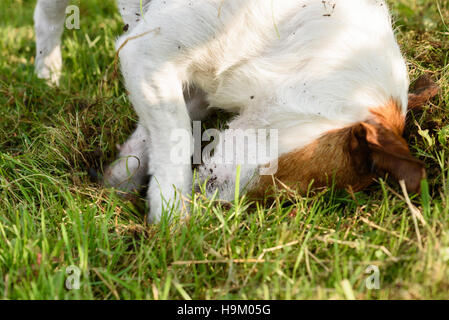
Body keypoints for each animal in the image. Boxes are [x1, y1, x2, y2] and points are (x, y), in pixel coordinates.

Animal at [36, 0, 438, 224]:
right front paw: (172, 223)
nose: (212, 208)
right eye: (281, 180)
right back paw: (46, 73)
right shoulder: (146, 54)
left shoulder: (191, 88)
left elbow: (149, 141)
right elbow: (175, 139)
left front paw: (115, 184)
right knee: (47, 15)